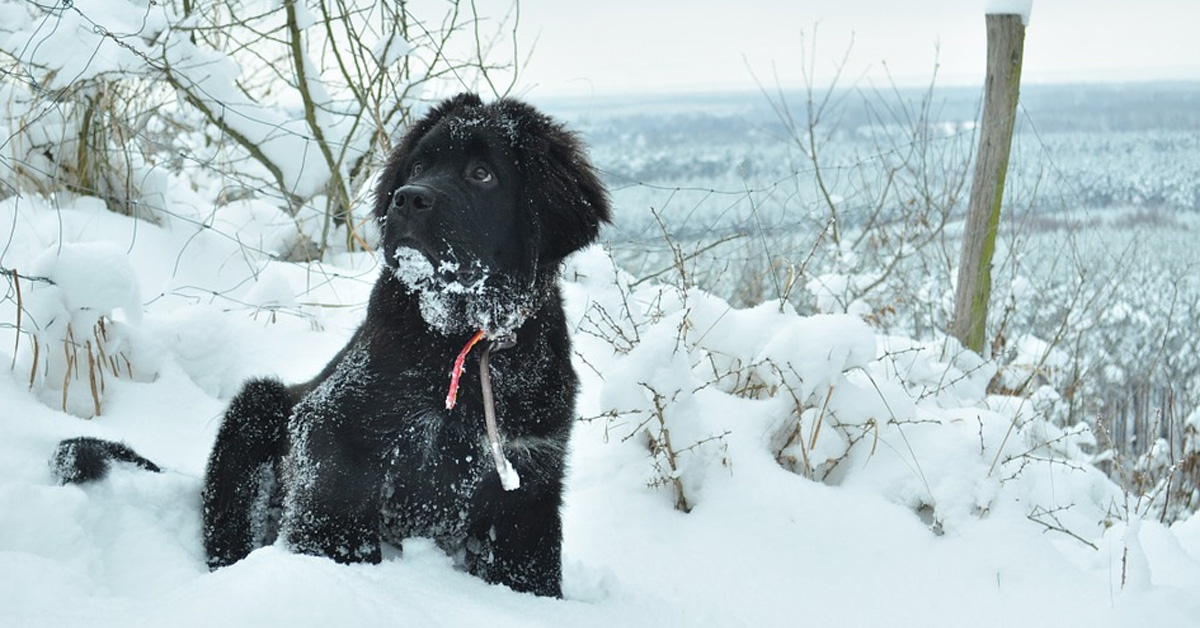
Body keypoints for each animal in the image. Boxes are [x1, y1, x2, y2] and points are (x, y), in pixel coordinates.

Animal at [48, 94, 609, 600]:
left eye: (482, 174)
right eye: (419, 165)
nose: (408, 198)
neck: (461, 341)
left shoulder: (530, 478)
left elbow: (529, 568)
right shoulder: (335, 429)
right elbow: (334, 522)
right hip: (255, 410)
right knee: (227, 528)